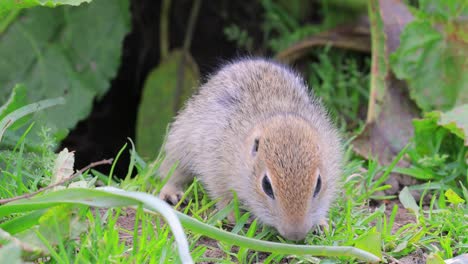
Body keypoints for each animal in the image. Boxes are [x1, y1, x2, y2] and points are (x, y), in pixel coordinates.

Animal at [157, 58, 340, 241]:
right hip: (180, 145)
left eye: (318, 184)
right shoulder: (215, 166)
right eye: (266, 185)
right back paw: (171, 193)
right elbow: (223, 196)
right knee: (171, 171)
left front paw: (321, 223)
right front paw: (235, 215)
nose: (295, 234)